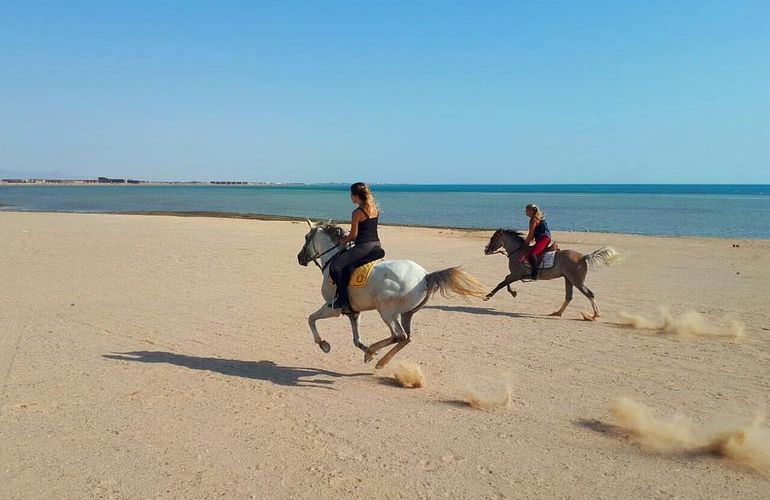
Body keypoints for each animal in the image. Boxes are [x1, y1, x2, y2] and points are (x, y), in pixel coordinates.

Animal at [296, 219, 486, 368]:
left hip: (386, 312)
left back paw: (376, 353)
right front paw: (367, 352)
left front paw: (323, 344)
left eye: (306, 237)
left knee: (399, 335)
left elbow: (311, 319)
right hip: (406, 313)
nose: (300, 258)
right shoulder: (353, 312)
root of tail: (425, 276)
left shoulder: (332, 308)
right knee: (406, 338)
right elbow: (356, 339)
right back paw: (377, 357)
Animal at [480, 229, 616, 320]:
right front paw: (513, 293)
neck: (517, 251)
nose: (486, 250)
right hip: (568, 279)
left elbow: (502, 283)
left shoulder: (516, 274)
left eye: (493, 238)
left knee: (589, 294)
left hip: (577, 281)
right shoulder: (515, 275)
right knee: (569, 296)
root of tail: (583, 257)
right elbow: (506, 282)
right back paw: (557, 313)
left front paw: (488, 296)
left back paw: (595, 315)